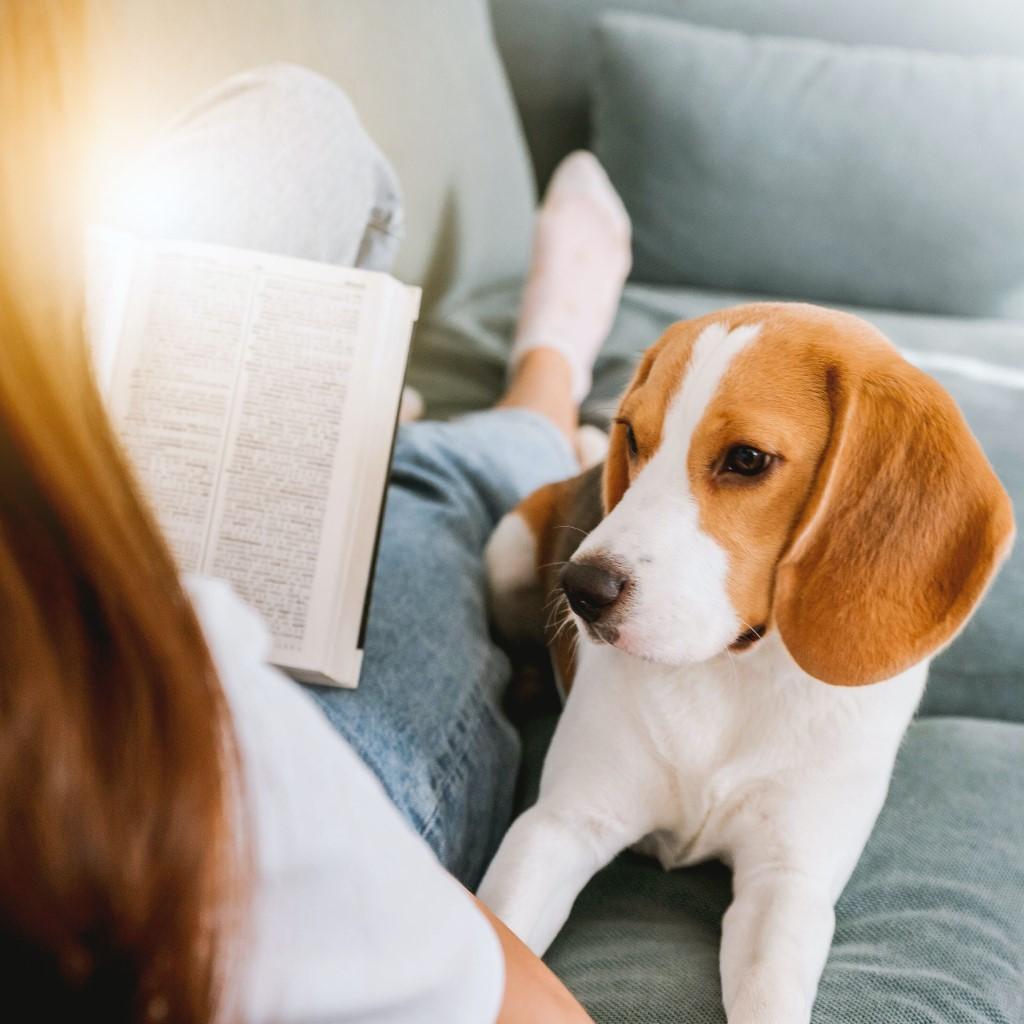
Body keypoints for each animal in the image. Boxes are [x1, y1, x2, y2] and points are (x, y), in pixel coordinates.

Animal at [479, 303, 1015, 1024]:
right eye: (632, 436)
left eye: (747, 459)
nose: (580, 589)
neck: (732, 670)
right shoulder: (558, 827)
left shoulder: (786, 885)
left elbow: (770, 995)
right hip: (507, 550)